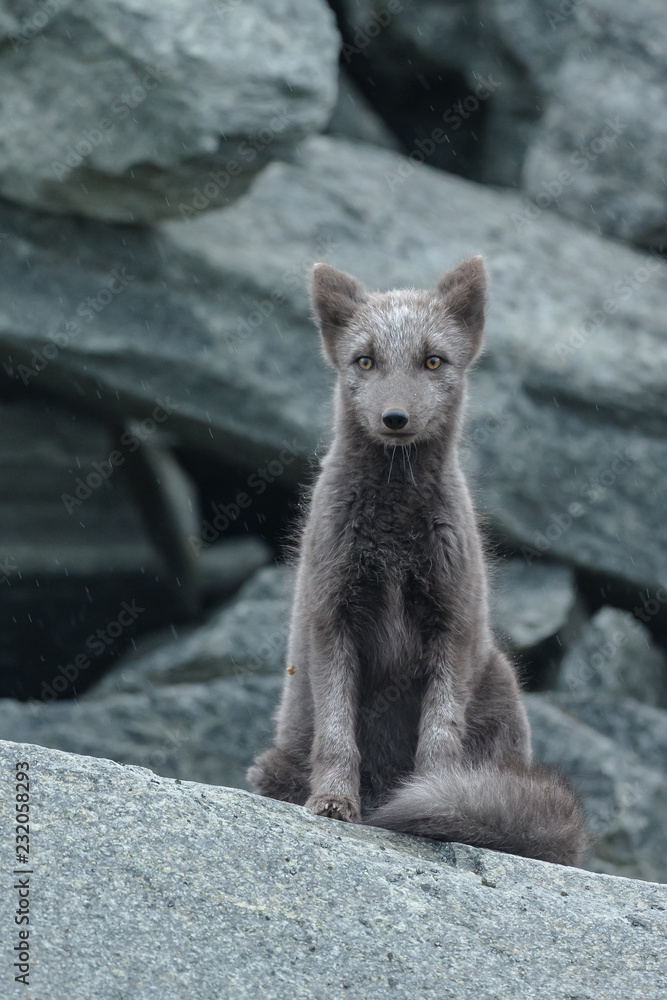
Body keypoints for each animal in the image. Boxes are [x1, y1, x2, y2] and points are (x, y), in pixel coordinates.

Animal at [247, 256, 587, 867]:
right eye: (365, 360)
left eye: (433, 360)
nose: (395, 417)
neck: (391, 536)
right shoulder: (332, 618)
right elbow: (337, 733)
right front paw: (334, 802)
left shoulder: (450, 625)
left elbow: (440, 737)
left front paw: (435, 797)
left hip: (497, 674)